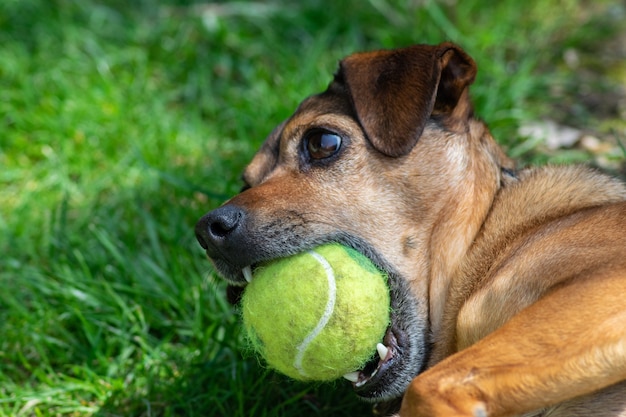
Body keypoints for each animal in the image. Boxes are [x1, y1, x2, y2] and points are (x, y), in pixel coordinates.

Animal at [194, 43, 624, 416]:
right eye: (246, 183)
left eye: (322, 143)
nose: (207, 230)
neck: (492, 235)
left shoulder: (602, 288)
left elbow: (429, 387)